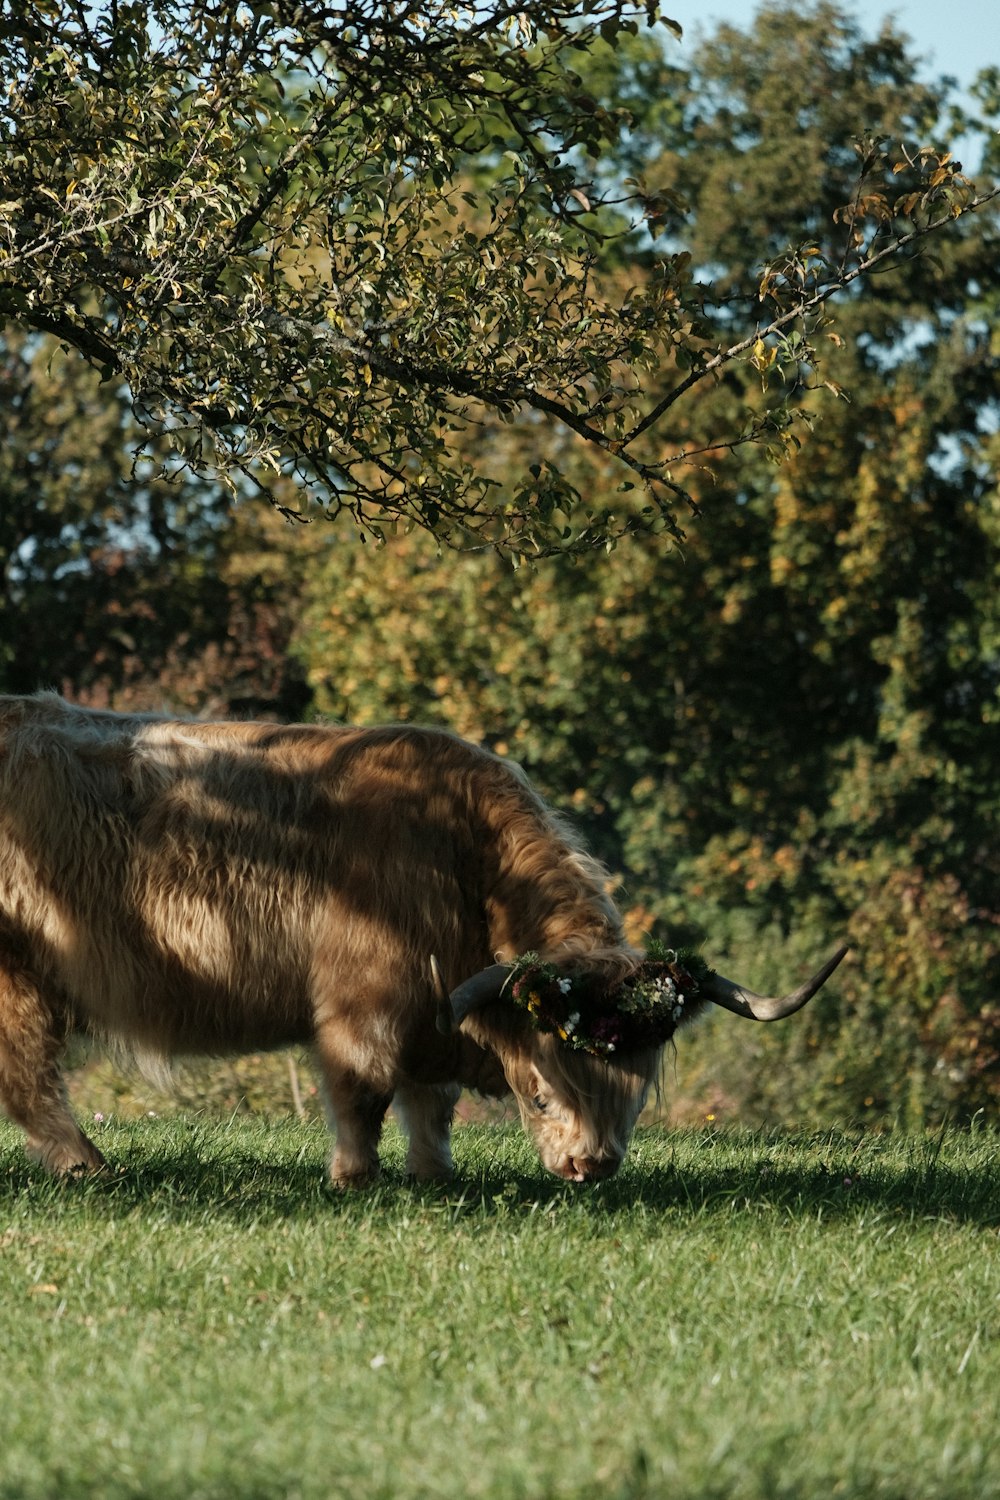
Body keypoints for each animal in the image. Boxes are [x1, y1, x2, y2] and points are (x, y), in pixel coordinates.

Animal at [0, 696, 845, 1188]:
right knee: (30, 1079)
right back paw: (87, 1166)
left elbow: (429, 1103)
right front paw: (355, 1177)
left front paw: (434, 1174)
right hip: (20, 980)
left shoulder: (433, 1023)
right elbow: (364, 1089)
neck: (459, 854)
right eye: (543, 1092)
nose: (591, 1166)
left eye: (636, 1093)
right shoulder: (362, 1003)